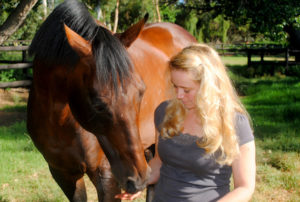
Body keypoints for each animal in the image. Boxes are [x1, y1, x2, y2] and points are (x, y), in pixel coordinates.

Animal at [27, 0, 197, 201]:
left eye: (141, 92)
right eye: (97, 104)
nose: (137, 179)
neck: (59, 122)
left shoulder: (107, 176)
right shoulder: (63, 174)